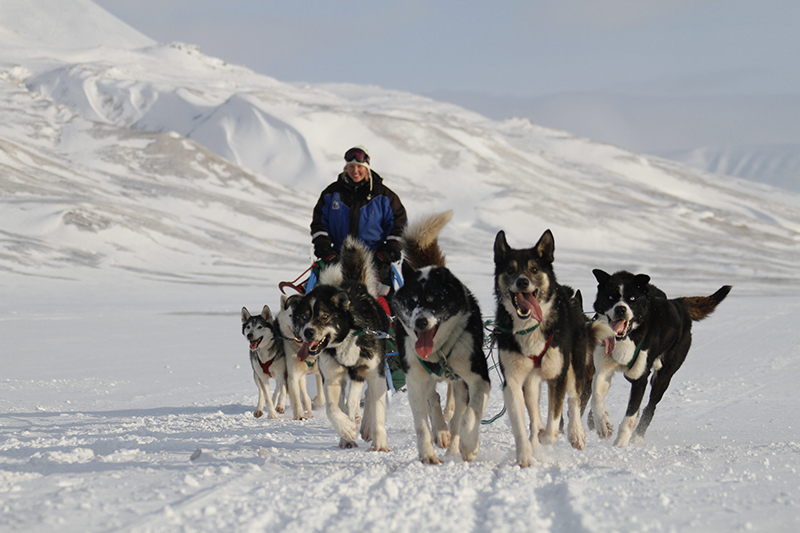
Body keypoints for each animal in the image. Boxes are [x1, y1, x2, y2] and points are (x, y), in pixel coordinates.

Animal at [294, 236, 394, 448]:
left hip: (372, 371)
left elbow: (371, 407)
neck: (344, 342)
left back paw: (365, 426)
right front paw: (347, 429)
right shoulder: (332, 378)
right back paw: (347, 437)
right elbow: (333, 409)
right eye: (304, 317)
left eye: (324, 316)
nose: (308, 332)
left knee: (367, 396)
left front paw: (380, 445)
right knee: (345, 402)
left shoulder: (371, 372)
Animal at [392, 210, 490, 464]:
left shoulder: (477, 378)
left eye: (435, 299)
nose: (420, 322)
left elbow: (468, 416)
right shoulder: (415, 380)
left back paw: (454, 444)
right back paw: (441, 432)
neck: (439, 352)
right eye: (411, 301)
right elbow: (421, 424)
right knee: (433, 401)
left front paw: (469, 446)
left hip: (460, 381)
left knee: (457, 414)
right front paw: (427, 454)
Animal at [494, 229, 600, 466]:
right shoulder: (513, 380)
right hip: (531, 382)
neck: (529, 328)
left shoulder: (557, 375)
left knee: (574, 399)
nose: (522, 282)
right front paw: (524, 454)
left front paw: (547, 436)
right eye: (510, 270)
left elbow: (554, 423)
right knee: (534, 414)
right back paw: (535, 441)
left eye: (534, 270)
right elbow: (521, 424)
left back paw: (576, 434)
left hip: (575, 365)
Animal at [588, 268, 732, 446]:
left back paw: (637, 436)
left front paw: (620, 445)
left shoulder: (640, 379)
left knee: (650, 407)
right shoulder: (603, 371)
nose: (620, 309)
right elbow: (596, 398)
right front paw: (603, 425)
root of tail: (679, 304)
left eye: (632, 299)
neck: (628, 336)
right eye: (610, 297)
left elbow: (629, 417)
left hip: (663, 376)